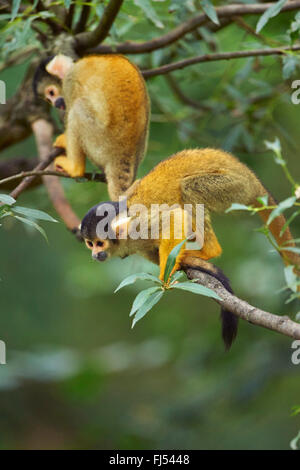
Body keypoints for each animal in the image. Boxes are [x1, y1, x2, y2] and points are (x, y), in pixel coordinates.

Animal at [33, 54, 150, 199]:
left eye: (51, 92)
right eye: (48, 100)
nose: (56, 104)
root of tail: (123, 153)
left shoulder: (70, 82)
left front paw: (65, 140)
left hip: (101, 143)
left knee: (77, 107)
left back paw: (75, 168)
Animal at [79, 149, 300, 350]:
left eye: (99, 243)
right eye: (90, 243)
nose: (94, 254)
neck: (124, 236)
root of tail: (252, 179)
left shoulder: (140, 225)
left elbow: (173, 217)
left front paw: (164, 279)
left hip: (232, 186)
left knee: (188, 189)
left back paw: (208, 250)